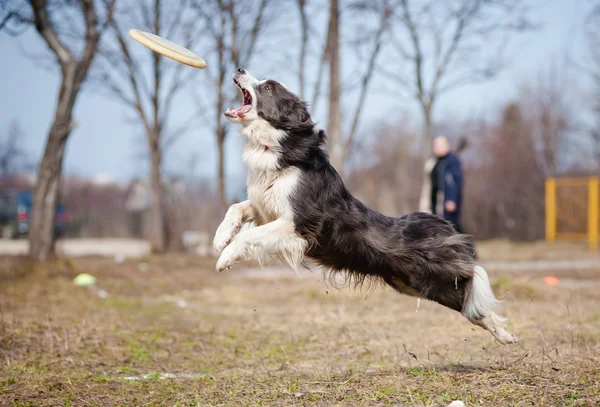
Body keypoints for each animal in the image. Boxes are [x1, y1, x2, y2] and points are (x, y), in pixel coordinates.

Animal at [213, 68, 516, 346]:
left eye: (267, 87)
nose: (240, 69)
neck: (277, 145)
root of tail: (440, 225)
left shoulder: (299, 223)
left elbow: (250, 235)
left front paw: (224, 258)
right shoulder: (266, 207)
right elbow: (236, 208)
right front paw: (220, 239)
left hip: (432, 280)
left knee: (470, 289)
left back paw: (506, 335)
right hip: (410, 283)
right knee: (467, 299)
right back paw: (506, 335)